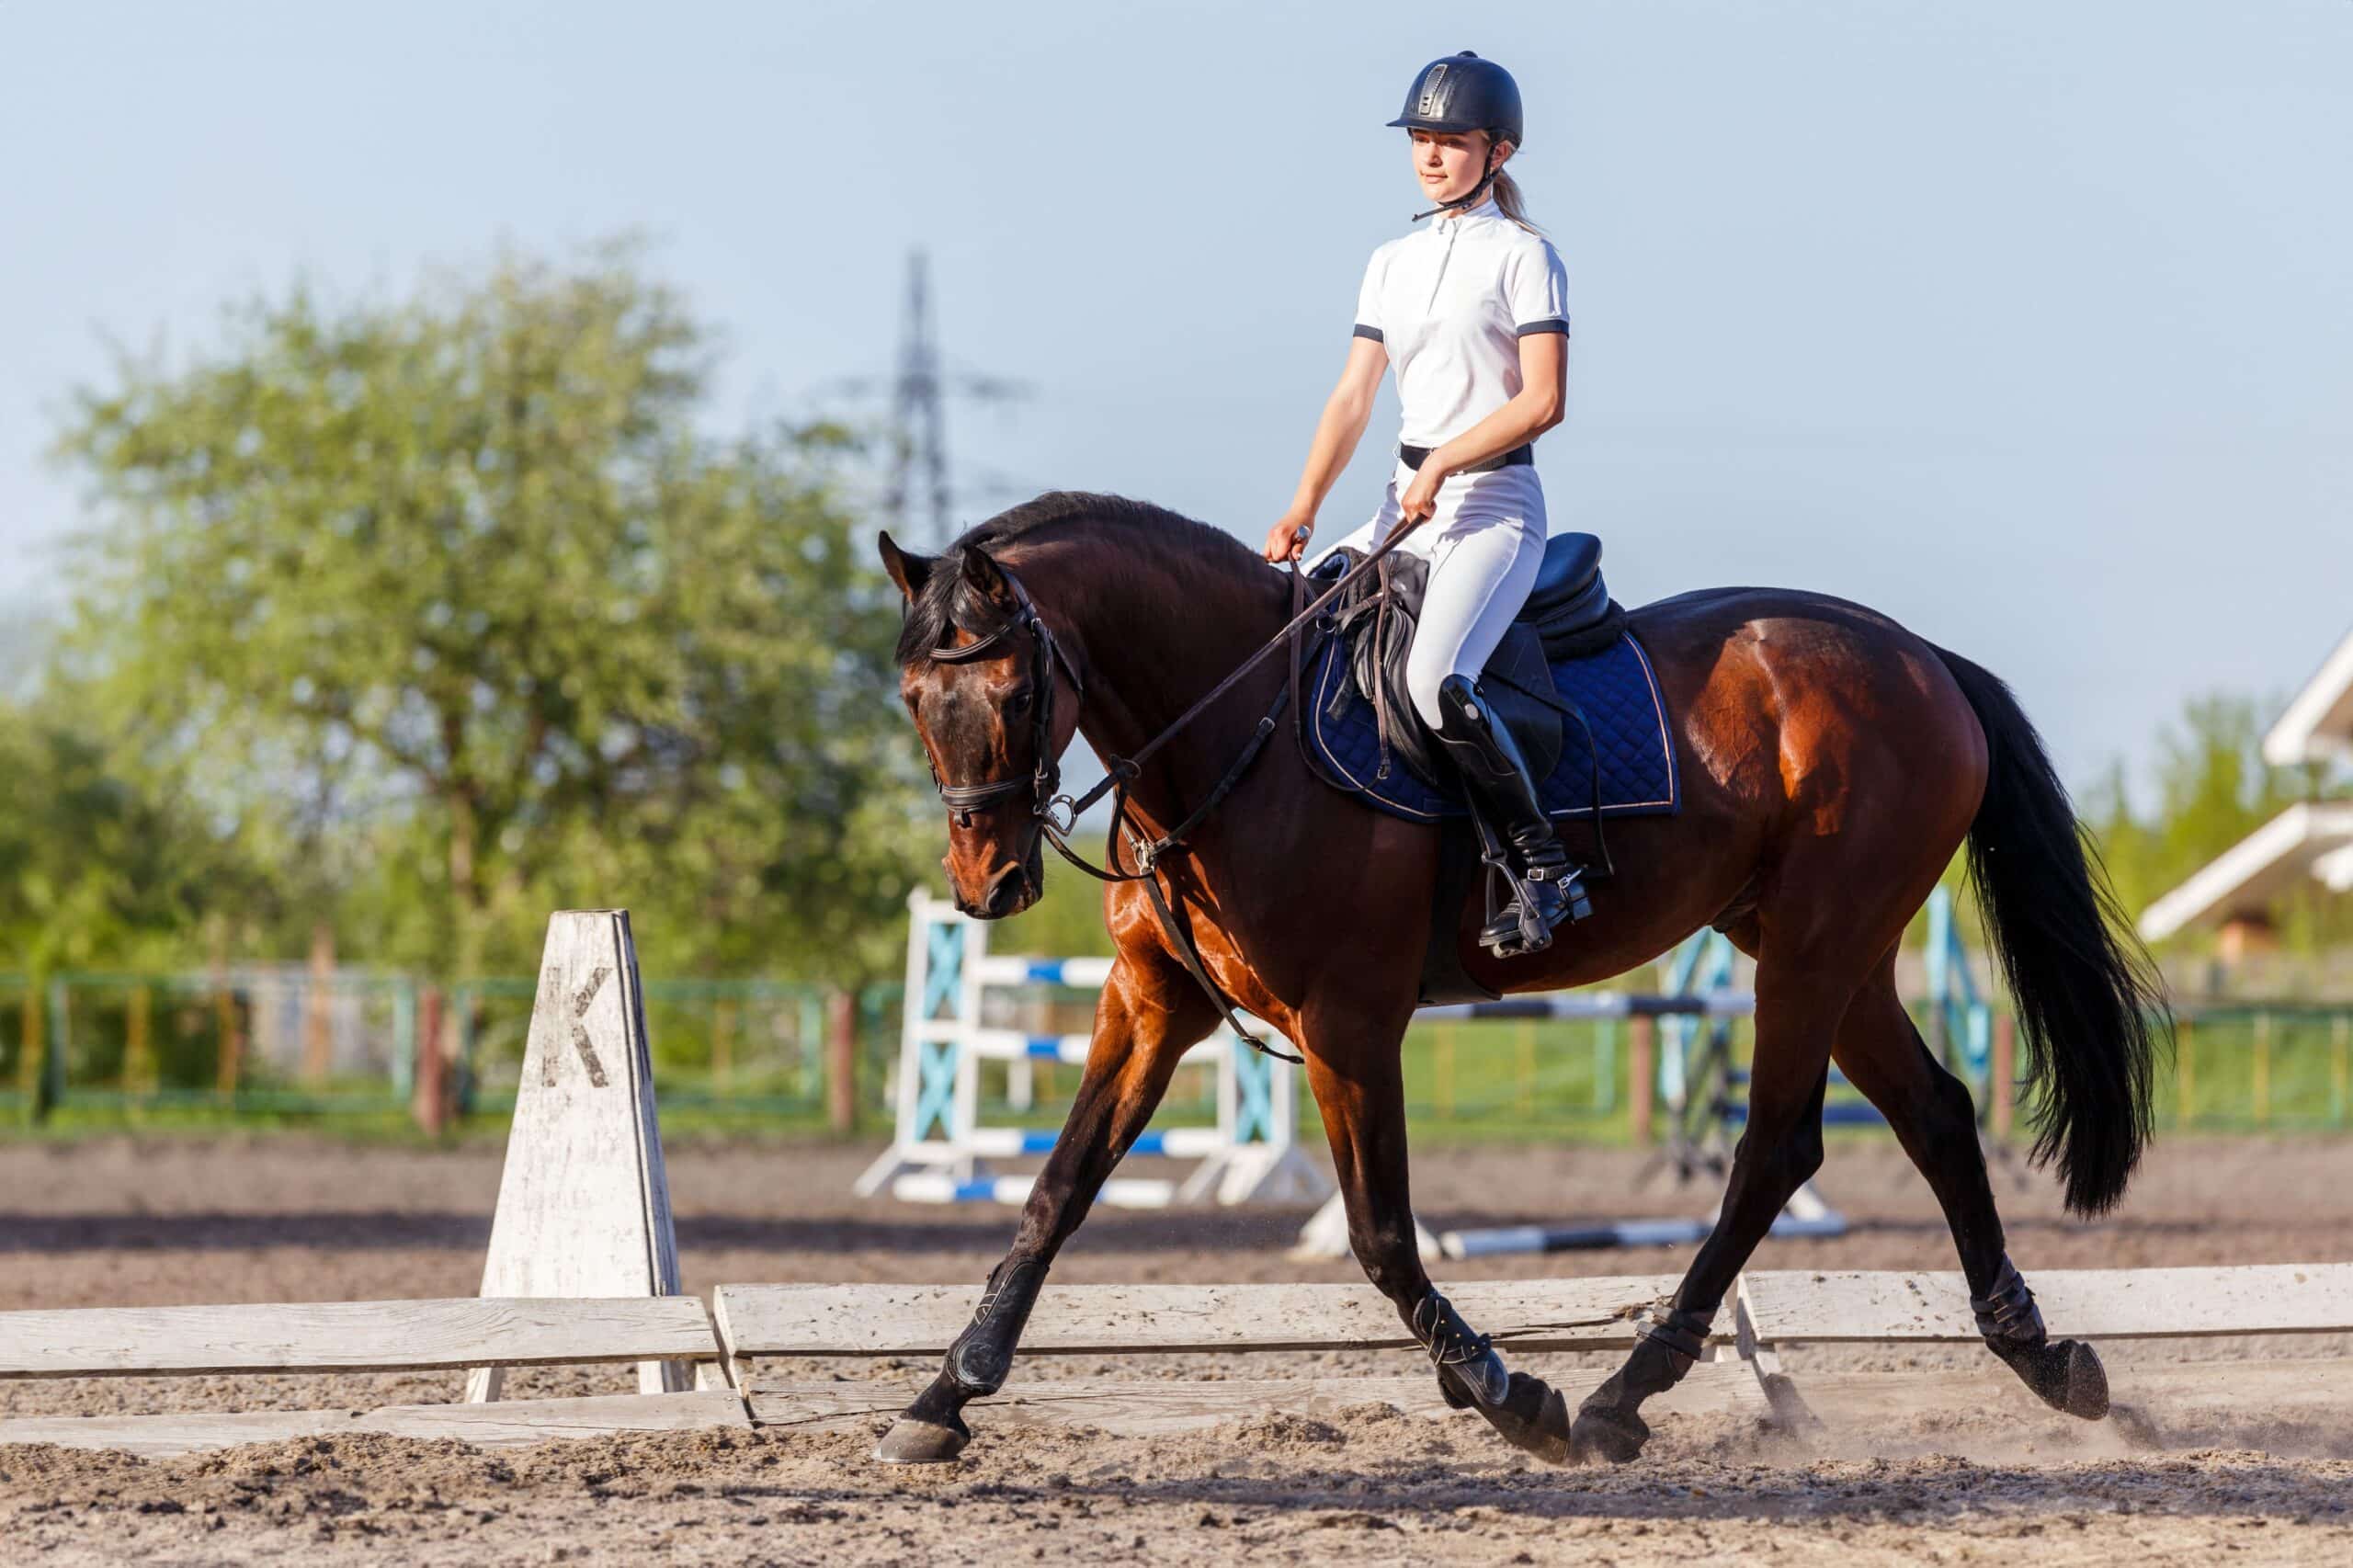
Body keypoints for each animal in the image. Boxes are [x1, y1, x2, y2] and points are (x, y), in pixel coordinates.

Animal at [871, 490, 2164, 1466]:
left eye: (1016, 692)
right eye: (914, 698)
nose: (986, 884)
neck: (1234, 731)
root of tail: (1920, 657)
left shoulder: (1348, 1021)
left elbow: (1381, 1233)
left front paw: (1507, 1393)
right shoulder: (1149, 1004)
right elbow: (1056, 1191)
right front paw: (944, 1395)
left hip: (1814, 945)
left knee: (1772, 1150)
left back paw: (1619, 1395)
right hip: (1819, 950)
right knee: (1933, 1116)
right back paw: (2049, 1361)